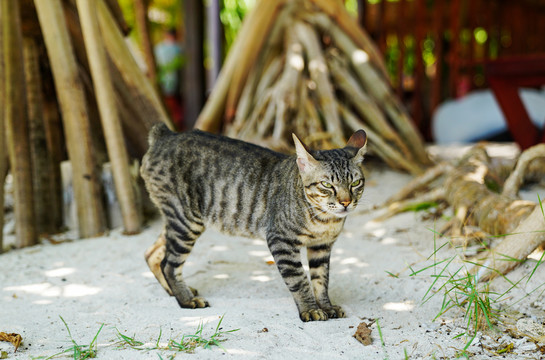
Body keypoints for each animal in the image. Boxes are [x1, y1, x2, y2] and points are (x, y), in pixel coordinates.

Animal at [140, 124, 368, 324]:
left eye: (355, 183)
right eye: (327, 185)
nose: (346, 202)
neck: (325, 221)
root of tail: (166, 134)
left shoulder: (322, 247)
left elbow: (321, 280)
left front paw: (326, 306)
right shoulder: (281, 241)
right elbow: (299, 279)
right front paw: (310, 310)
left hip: (178, 221)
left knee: (153, 254)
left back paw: (176, 291)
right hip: (185, 220)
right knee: (169, 263)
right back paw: (186, 299)